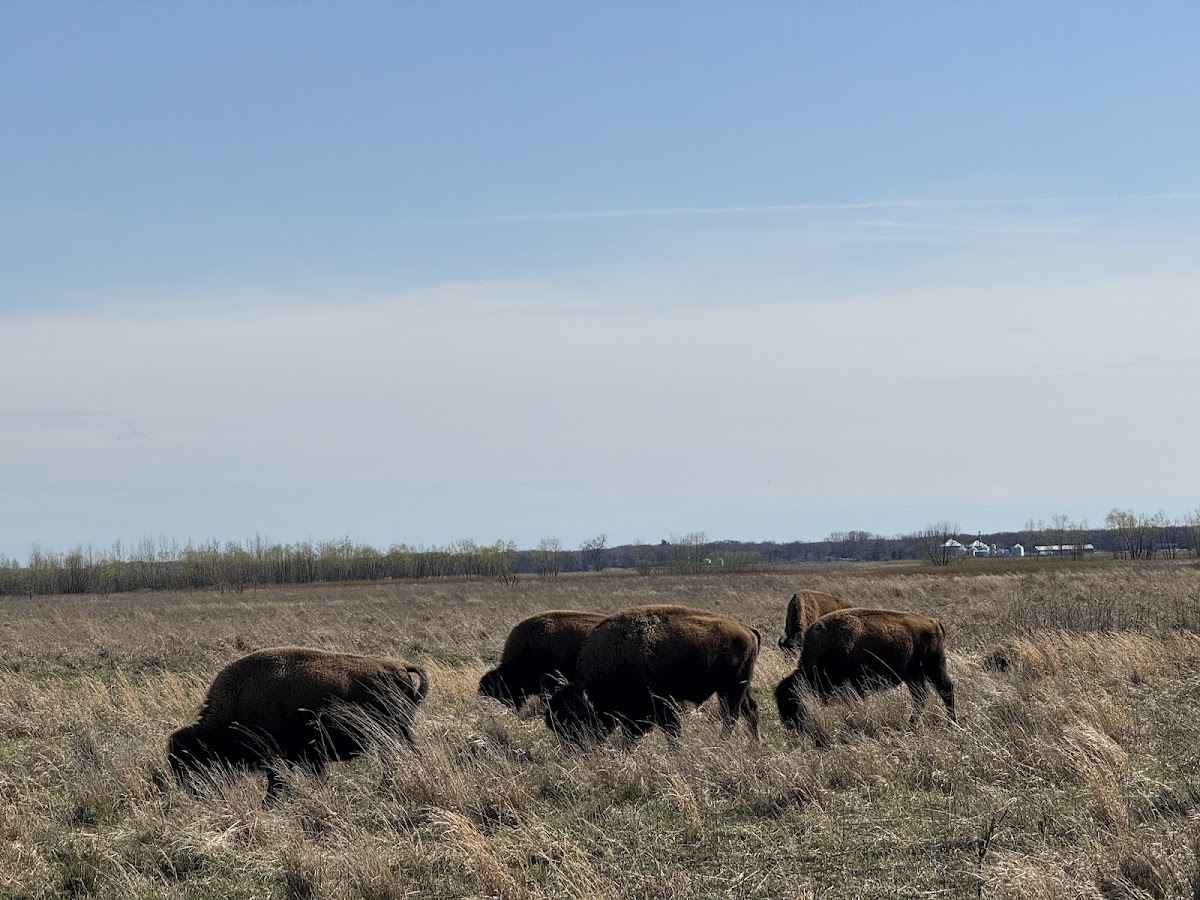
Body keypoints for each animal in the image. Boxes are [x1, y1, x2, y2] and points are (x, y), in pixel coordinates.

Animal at [168, 646, 428, 804]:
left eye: (192, 762)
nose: (196, 794)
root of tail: (401, 666)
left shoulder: (279, 760)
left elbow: (276, 785)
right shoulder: (304, 759)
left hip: (394, 733)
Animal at [544, 605, 761, 751]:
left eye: (573, 723)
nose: (572, 750)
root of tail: (747, 629)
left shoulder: (662, 705)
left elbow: (671, 732)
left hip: (731, 688)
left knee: (731, 716)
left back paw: (722, 743)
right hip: (740, 687)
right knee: (750, 710)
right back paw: (753, 745)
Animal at [774, 608, 956, 731]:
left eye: (793, 702)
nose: (792, 729)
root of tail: (934, 622)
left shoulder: (855, 687)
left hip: (933, 667)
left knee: (945, 690)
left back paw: (951, 724)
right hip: (914, 675)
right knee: (921, 697)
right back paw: (911, 725)